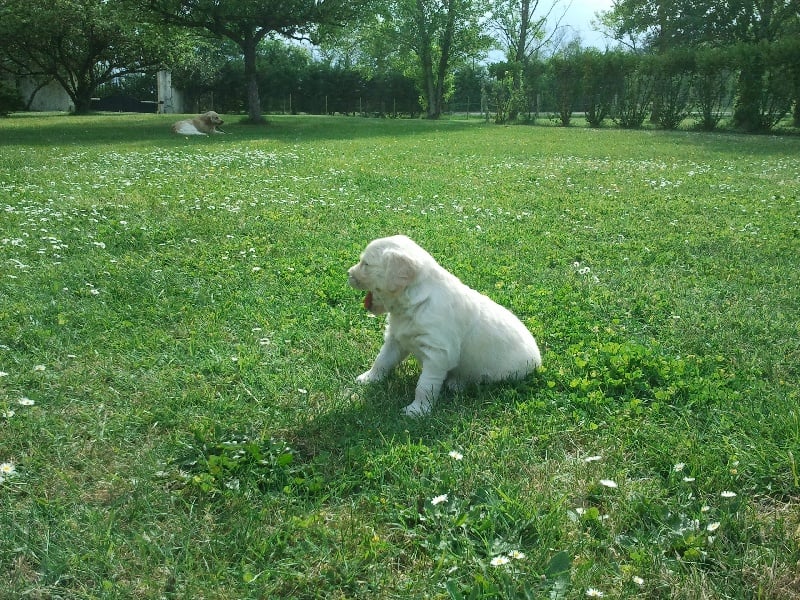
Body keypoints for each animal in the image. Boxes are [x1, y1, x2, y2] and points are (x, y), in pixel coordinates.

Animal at [348, 235, 542, 416]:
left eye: (365, 264)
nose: (348, 273)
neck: (415, 302)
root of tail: (538, 359)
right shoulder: (395, 339)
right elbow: (382, 361)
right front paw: (369, 378)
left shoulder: (437, 353)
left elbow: (425, 385)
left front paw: (417, 411)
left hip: (505, 374)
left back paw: (457, 383)